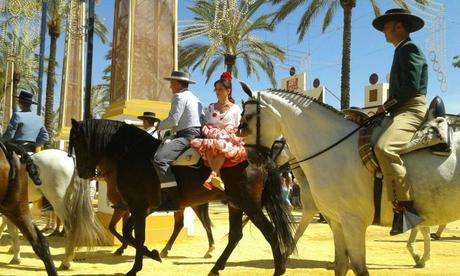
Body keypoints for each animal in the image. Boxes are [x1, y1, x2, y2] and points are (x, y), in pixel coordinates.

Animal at [68, 118, 294, 276]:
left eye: (77, 144)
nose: (82, 173)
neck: (131, 154)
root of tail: (261, 158)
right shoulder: (139, 207)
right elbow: (128, 232)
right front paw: (153, 254)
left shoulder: (138, 206)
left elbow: (137, 235)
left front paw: (135, 268)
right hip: (235, 204)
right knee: (235, 235)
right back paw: (215, 267)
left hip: (249, 205)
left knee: (270, 232)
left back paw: (278, 269)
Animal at [239, 87, 460, 276]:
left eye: (247, 117)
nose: (251, 158)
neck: (335, 149)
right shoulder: (337, 220)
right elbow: (341, 264)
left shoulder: (349, 222)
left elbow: (357, 266)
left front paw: (284, 257)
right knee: (422, 227)